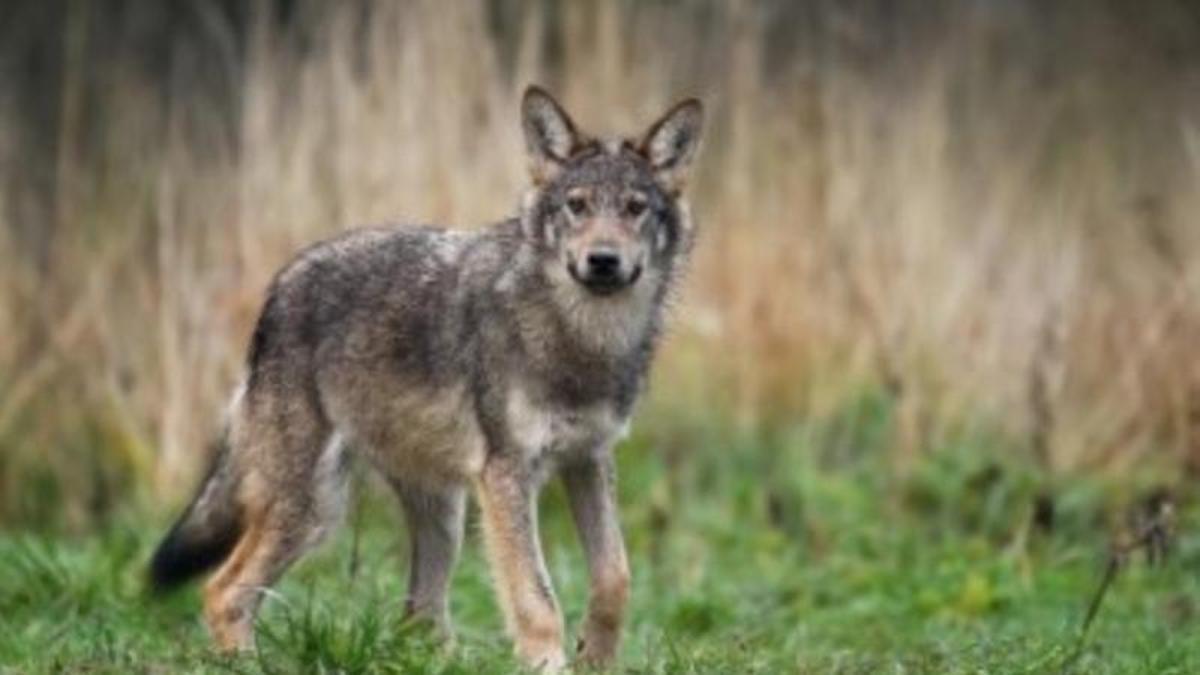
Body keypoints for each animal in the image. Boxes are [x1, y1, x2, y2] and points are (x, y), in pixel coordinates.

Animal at [149, 85, 703, 671]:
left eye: (635, 209)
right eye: (577, 205)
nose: (602, 260)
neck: (581, 339)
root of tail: (280, 286)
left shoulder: (589, 460)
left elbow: (616, 578)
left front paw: (596, 656)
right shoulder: (507, 474)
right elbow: (536, 599)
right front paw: (551, 661)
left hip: (443, 516)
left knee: (419, 617)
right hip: (315, 509)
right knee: (224, 591)